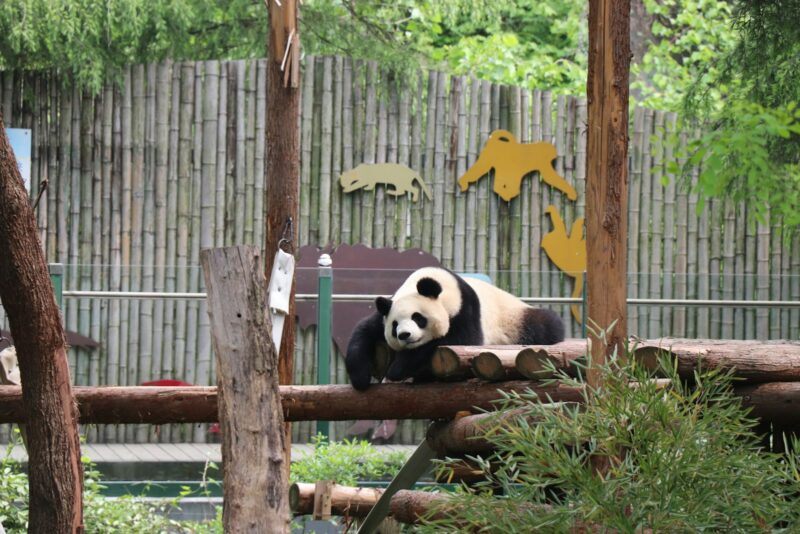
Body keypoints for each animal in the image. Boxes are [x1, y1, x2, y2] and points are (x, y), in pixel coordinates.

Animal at [346, 270, 564, 392]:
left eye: (418, 318)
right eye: (394, 325)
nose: (404, 335)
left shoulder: (466, 311)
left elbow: (457, 341)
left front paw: (397, 368)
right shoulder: (385, 312)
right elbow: (362, 332)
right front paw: (360, 378)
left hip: (514, 318)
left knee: (547, 324)